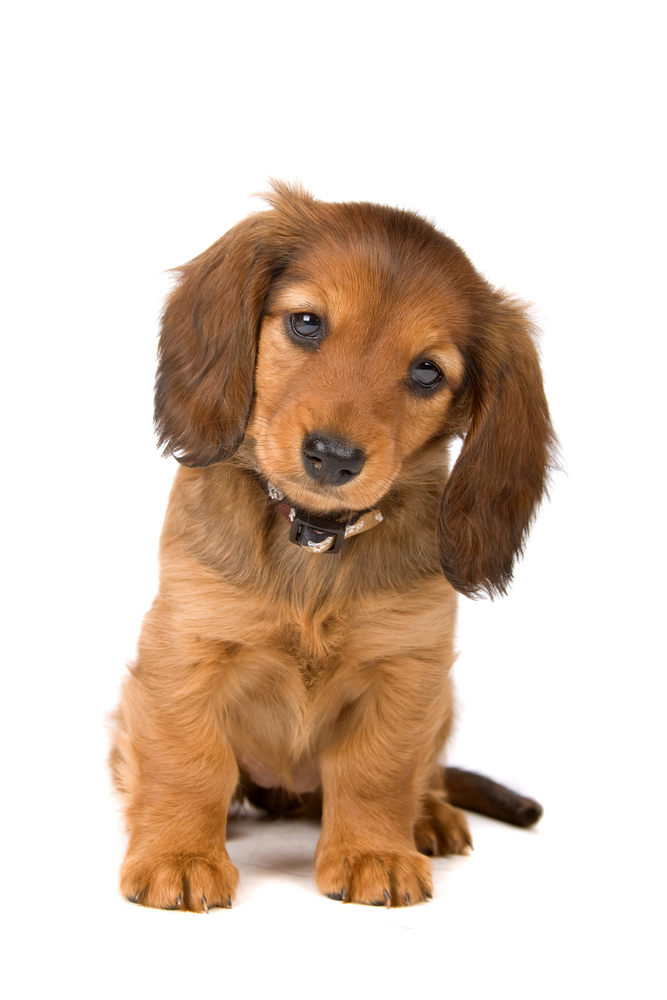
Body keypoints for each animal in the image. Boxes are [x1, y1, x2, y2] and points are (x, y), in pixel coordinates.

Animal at [112, 184, 556, 912]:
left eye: (427, 371)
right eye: (306, 323)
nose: (333, 456)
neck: (316, 543)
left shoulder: (407, 668)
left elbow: (378, 769)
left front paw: (374, 851)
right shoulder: (186, 647)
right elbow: (189, 758)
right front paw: (178, 853)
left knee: (426, 774)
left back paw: (429, 816)